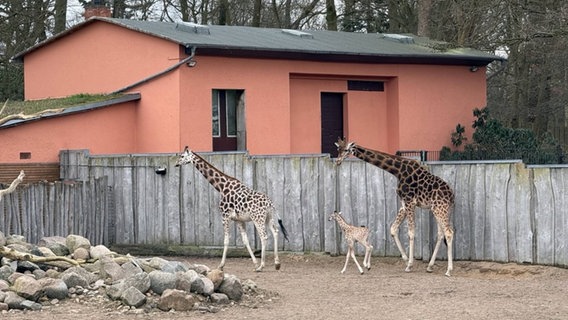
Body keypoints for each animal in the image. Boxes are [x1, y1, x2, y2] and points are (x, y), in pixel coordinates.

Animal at [336, 139, 454, 276]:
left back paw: (448, 270)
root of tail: (452, 196)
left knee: (449, 233)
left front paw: (409, 265)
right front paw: (406, 260)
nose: (337, 161)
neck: (398, 170)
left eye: (346, 150)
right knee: (441, 234)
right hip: (437, 210)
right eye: (338, 149)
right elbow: (393, 229)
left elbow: (411, 232)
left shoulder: (409, 202)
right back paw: (429, 266)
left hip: (440, 209)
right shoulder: (404, 204)